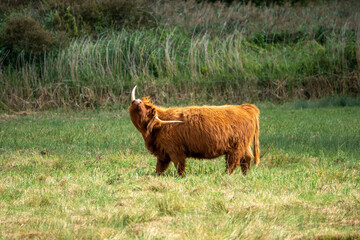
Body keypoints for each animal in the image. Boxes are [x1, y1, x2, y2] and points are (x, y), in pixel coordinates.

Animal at [129, 86, 258, 176]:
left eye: (148, 109)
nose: (137, 101)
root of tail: (245, 108)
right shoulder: (163, 153)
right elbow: (159, 168)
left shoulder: (175, 150)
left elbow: (179, 166)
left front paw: (182, 177)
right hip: (244, 145)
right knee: (246, 160)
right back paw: (245, 176)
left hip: (236, 147)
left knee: (232, 163)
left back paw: (224, 176)